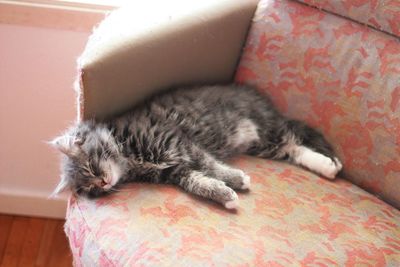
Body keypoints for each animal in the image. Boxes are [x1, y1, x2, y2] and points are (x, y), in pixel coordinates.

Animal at [51, 85, 342, 210]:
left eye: (91, 167)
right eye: (88, 189)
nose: (102, 184)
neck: (127, 152)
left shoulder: (180, 143)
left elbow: (210, 165)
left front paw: (236, 179)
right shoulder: (174, 170)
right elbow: (199, 182)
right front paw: (225, 194)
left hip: (265, 128)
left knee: (294, 137)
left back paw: (329, 165)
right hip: (263, 144)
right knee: (293, 147)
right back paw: (325, 166)